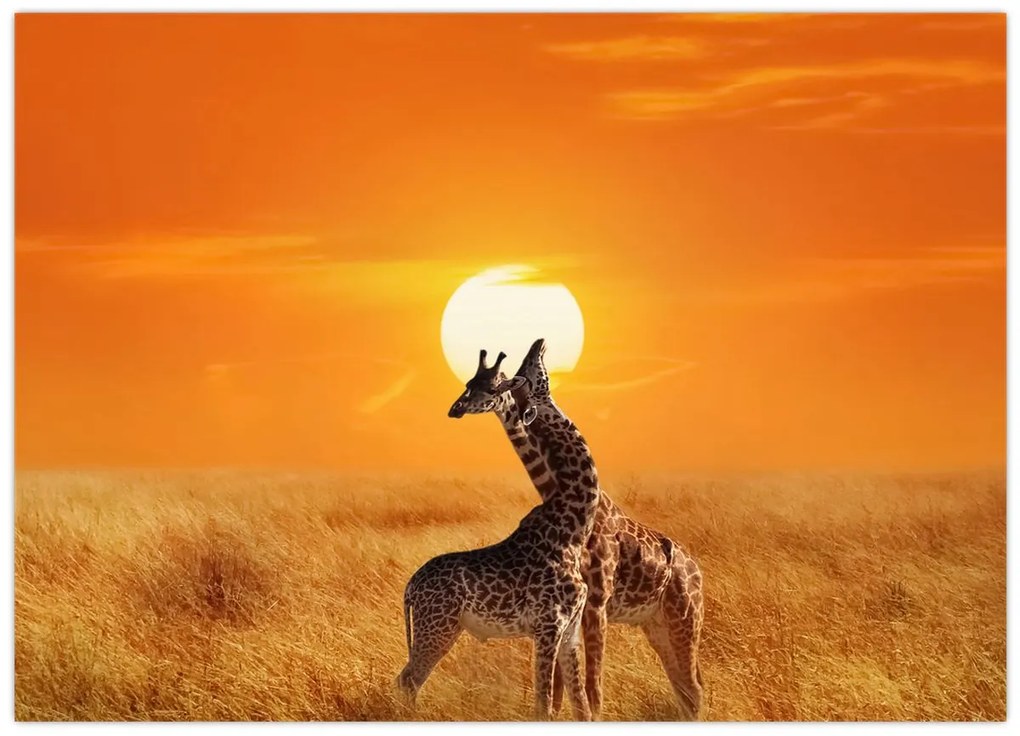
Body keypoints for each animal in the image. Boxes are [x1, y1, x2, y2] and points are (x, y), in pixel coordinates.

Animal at [395, 349, 600, 720]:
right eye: (533, 374)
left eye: (492, 385)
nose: (539, 346)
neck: (573, 529)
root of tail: (410, 588)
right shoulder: (548, 626)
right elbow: (543, 705)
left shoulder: (570, 631)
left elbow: (581, 708)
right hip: (438, 626)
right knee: (408, 680)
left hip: (442, 627)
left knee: (407, 679)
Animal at [506, 338, 704, 720]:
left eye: (529, 369)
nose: (538, 343)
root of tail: (698, 570)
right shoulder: (572, 605)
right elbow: (564, 688)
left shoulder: (596, 602)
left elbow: (591, 687)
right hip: (657, 625)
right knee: (684, 687)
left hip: (686, 620)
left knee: (694, 687)